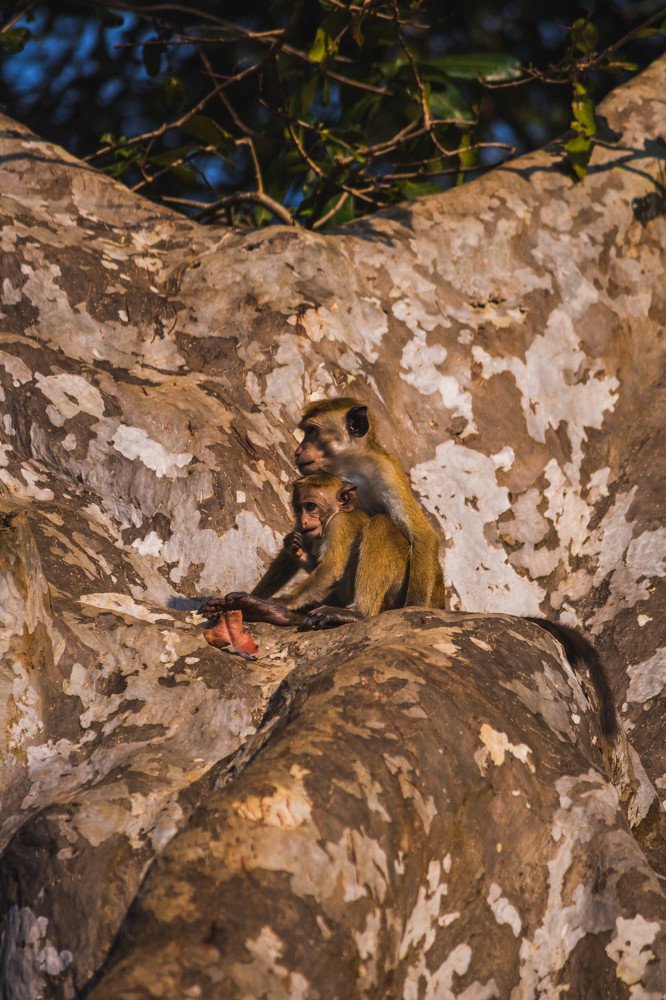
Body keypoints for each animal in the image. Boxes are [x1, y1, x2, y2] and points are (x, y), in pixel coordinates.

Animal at [199, 474, 409, 630]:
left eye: (311, 506)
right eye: (298, 508)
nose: (304, 520)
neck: (333, 515)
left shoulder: (339, 524)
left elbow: (333, 568)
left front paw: (281, 602)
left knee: (380, 524)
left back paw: (357, 613)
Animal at [293, 397, 445, 609]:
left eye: (312, 431)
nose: (297, 452)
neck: (351, 466)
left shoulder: (385, 471)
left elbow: (422, 535)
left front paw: (414, 606)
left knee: (383, 523)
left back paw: (357, 611)